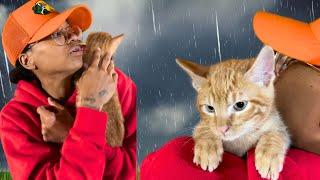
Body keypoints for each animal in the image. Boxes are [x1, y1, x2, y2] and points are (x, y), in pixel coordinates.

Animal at [176, 46, 292, 180]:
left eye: (240, 105)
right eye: (210, 108)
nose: (222, 129)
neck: (241, 139)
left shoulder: (277, 123)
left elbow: (276, 134)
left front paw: (268, 156)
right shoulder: (201, 124)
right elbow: (204, 128)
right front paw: (208, 148)